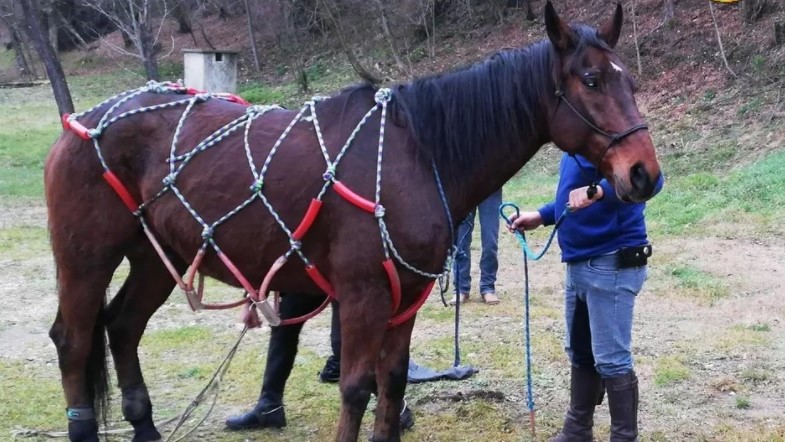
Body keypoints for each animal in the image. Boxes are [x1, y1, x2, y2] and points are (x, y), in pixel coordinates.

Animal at [44, 2, 661, 441]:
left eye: (628, 81)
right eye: (590, 80)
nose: (644, 174)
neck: (419, 154)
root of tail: (82, 122)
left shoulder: (405, 296)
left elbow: (391, 388)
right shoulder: (365, 296)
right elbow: (357, 389)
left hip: (155, 256)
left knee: (122, 327)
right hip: (87, 259)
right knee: (74, 341)